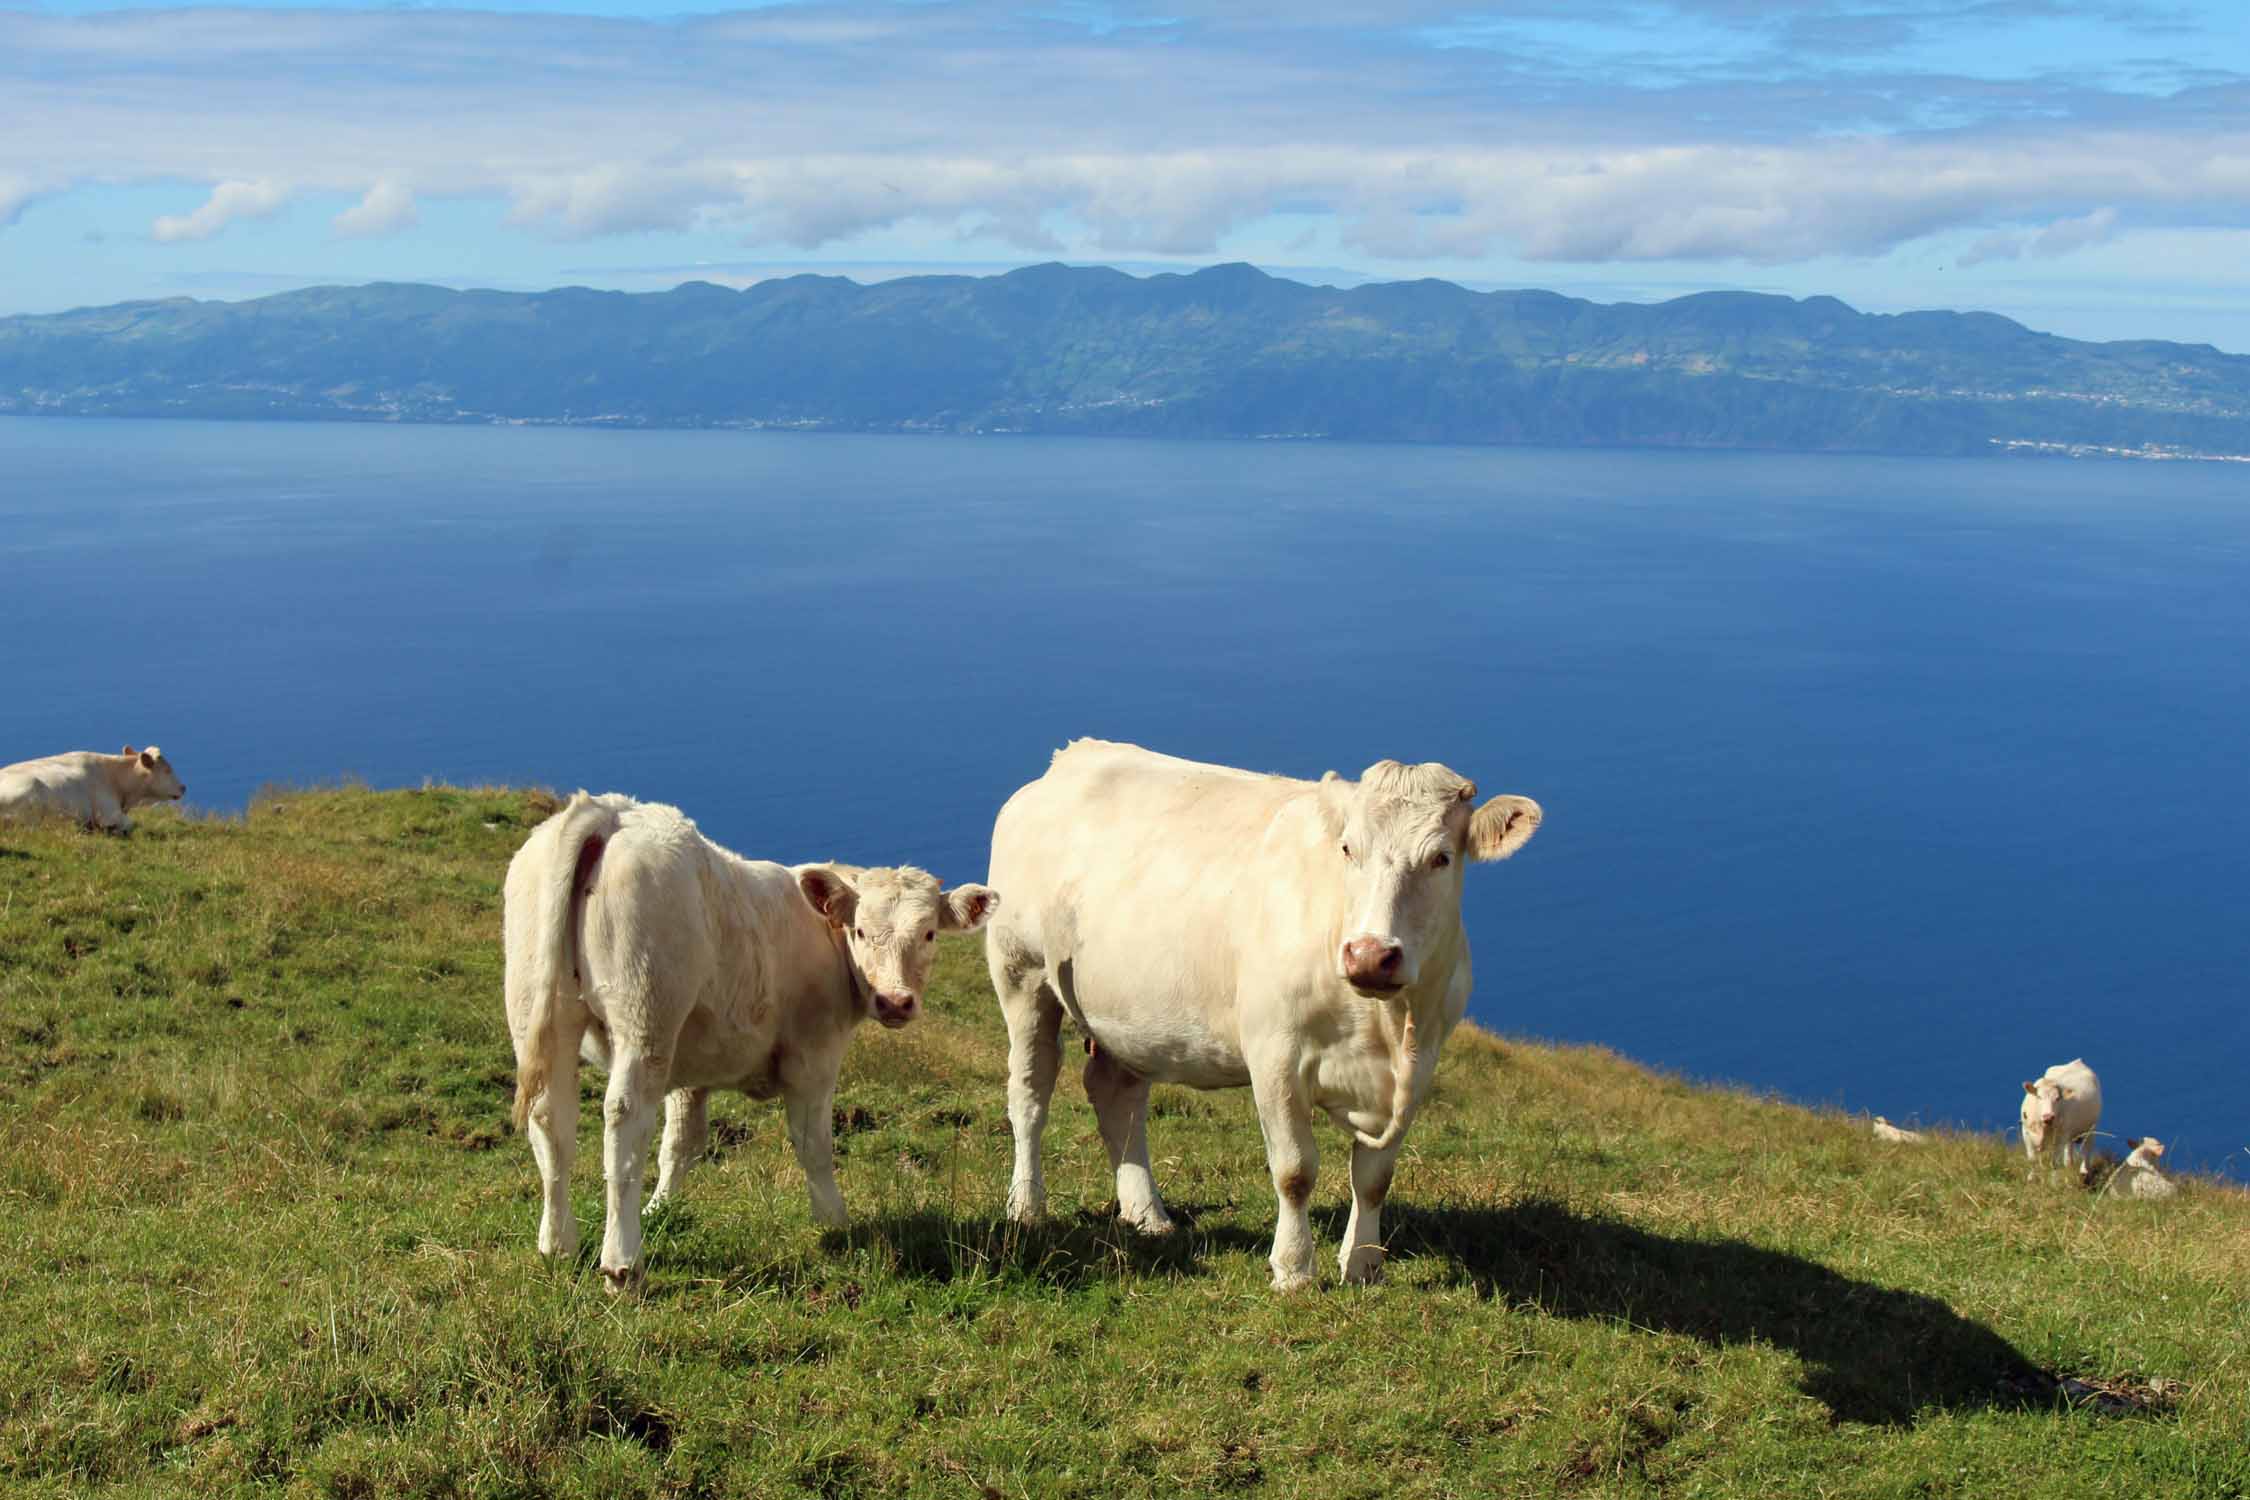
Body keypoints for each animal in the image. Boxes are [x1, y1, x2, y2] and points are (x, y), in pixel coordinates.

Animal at [515, 791, 1008, 1286]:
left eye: (929, 933)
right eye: (862, 930)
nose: (895, 1001)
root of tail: (612, 813)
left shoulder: (691, 1064)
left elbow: (680, 1144)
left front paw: (660, 1208)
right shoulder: (813, 1056)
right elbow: (814, 1144)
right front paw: (836, 1223)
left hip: (543, 1010)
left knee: (550, 1119)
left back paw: (557, 1244)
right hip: (645, 1018)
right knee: (624, 1119)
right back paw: (622, 1264)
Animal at [990, 737, 1548, 1295]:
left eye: (1441, 857)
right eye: (1348, 849)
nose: (1370, 955)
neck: (1383, 1028)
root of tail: (1071, 758)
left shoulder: (1423, 1062)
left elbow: (1374, 1178)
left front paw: (1364, 1266)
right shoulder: (1275, 1054)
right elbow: (1295, 1171)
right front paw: (1294, 1270)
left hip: (1129, 1013)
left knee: (1115, 1093)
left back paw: (1147, 1213)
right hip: (1021, 973)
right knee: (1030, 1093)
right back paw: (1027, 1206)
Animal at [2025, 1056, 2106, 1187]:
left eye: (2057, 1098)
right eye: (2039, 1097)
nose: (2048, 1116)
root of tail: (2077, 1061)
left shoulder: (2060, 1137)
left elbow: (2054, 1163)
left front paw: (2053, 1184)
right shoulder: (2026, 1132)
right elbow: (2032, 1159)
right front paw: (2031, 1180)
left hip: (2090, 1128)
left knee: (2086, 1150)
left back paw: (2084, 1173)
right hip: (2070, 1135)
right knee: (2069, 1159)